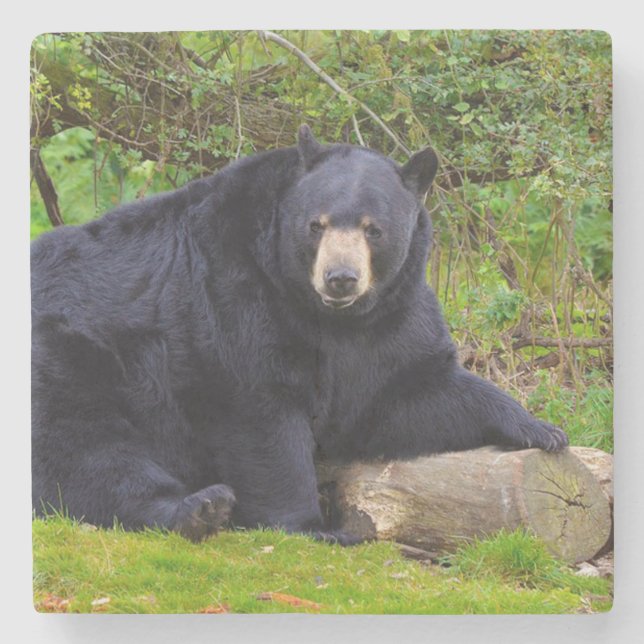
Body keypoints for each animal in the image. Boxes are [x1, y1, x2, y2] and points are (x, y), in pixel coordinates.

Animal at [31, 125, 568, 543]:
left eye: (374, 229)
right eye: (317, 224)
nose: (341, 278)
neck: (327, 316)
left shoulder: (388, 322)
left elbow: (400, 397)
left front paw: (541, 429)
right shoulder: (233, 295)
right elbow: (261, 413)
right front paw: (311, 525)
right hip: (70, 356)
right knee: (83, 449)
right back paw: (197, 508)